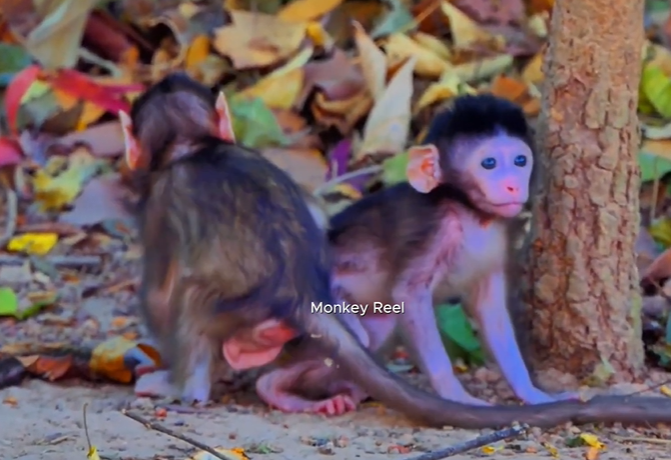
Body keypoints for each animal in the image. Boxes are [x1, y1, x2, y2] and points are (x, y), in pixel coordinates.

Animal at [122, 74, 671, 429]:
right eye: (489, 163)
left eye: (519, 160)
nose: (514, 186)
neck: (469, 213)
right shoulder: (434, 230)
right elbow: (410, 294)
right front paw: (455, 395)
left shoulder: (501, 239)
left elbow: (490, 311)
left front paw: (531, 392)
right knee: (367, 325)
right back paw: (268, 381)